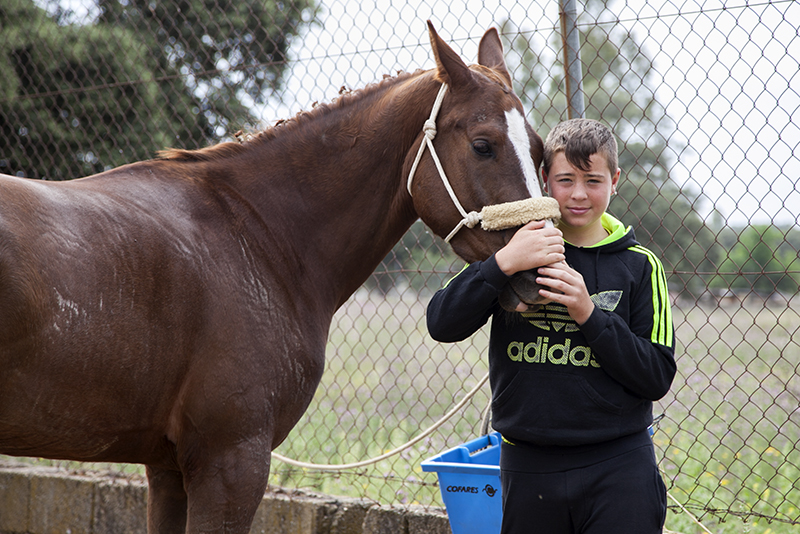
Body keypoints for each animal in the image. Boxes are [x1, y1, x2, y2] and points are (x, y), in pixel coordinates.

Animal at [0, 23, 544, 532]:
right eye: (483, 145)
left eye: (539, 149)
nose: (540, 270)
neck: (258, 234)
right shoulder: (230, 464)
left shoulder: (168, 470)